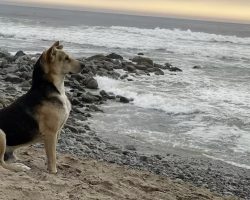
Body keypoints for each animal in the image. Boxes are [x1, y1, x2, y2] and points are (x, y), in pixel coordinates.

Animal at [0, 41, 85, 173]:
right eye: (66, 58)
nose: (84, 65)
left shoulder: (57, 132)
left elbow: (51, 154)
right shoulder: (51, 133)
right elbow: (52, 155)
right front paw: (53, 171)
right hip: (2, 134)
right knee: (1, 163)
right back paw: (19, 167)